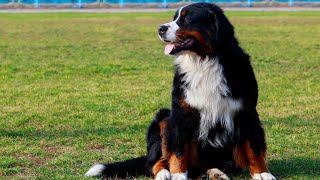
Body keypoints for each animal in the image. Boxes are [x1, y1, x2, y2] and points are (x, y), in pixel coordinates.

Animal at [85, 2, 276, 180]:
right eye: (175, 17)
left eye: (186, 18)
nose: (160, 29)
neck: (204, 61)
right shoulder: (181, 113)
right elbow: (179, 151)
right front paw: (178, 174)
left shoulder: (247, 112)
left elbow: (254, 147)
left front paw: (262, 173)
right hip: (163, 118)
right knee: (154, 162)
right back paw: (164, 173)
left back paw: (216, 172)